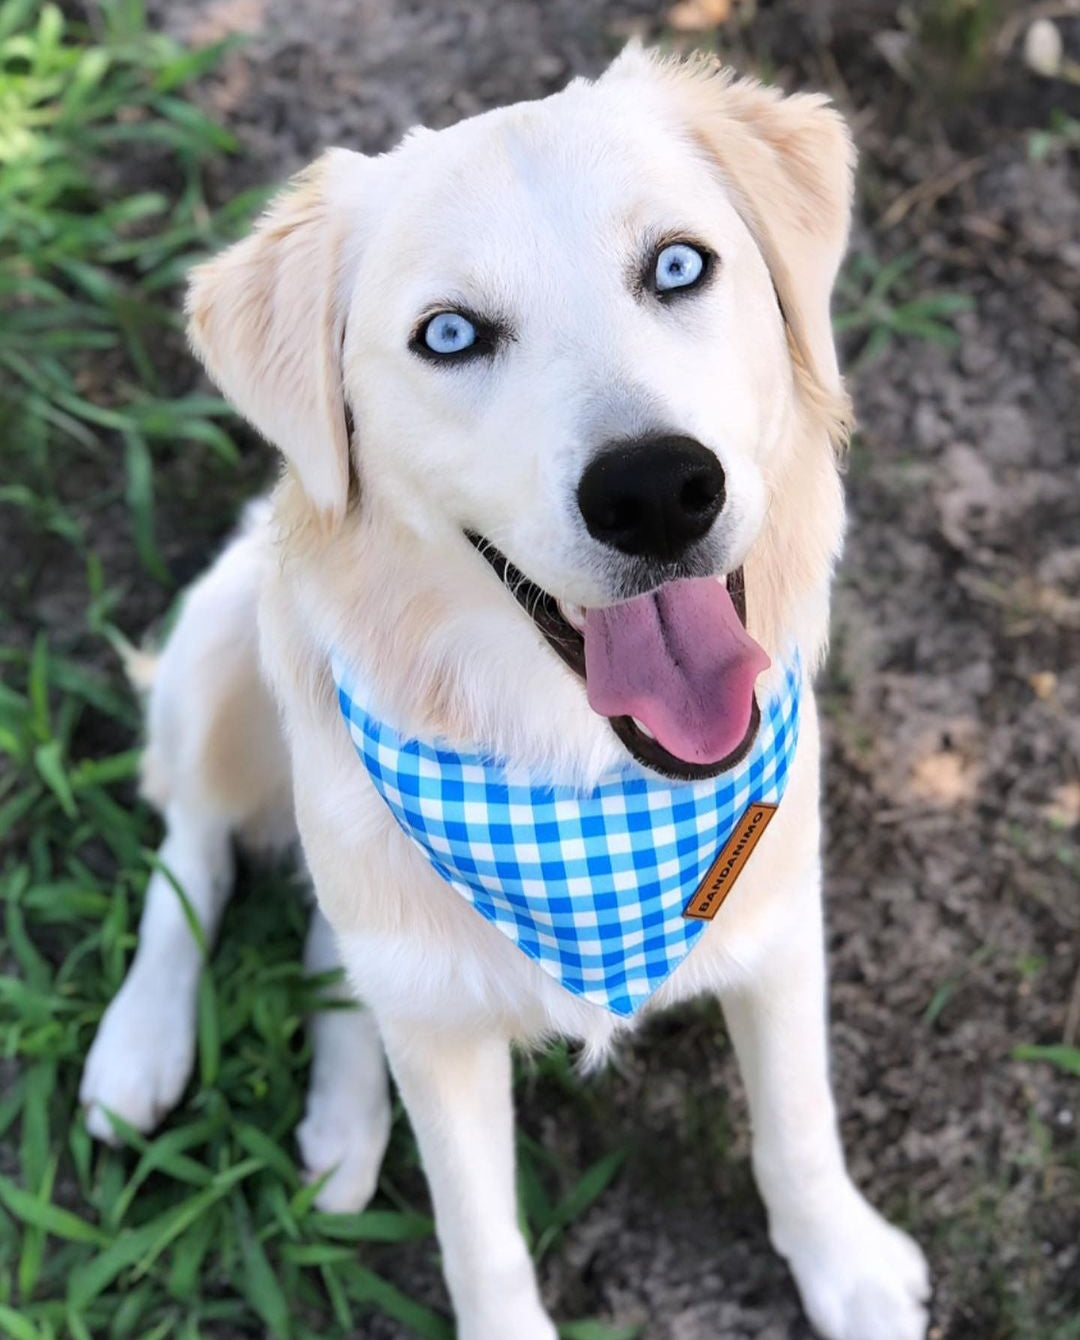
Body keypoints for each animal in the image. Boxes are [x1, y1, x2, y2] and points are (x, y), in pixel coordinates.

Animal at [80, 47, 932, 1340]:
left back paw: (338, 1115)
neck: (583, 785)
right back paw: (143, 1040)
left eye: (678, 265)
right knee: (198, 843)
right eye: (450, 334)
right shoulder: (444, 1051)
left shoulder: (780, 918)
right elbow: (478, 1237)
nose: (656, 491)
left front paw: (845, 1260)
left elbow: (795, 1123)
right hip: (224, 636)